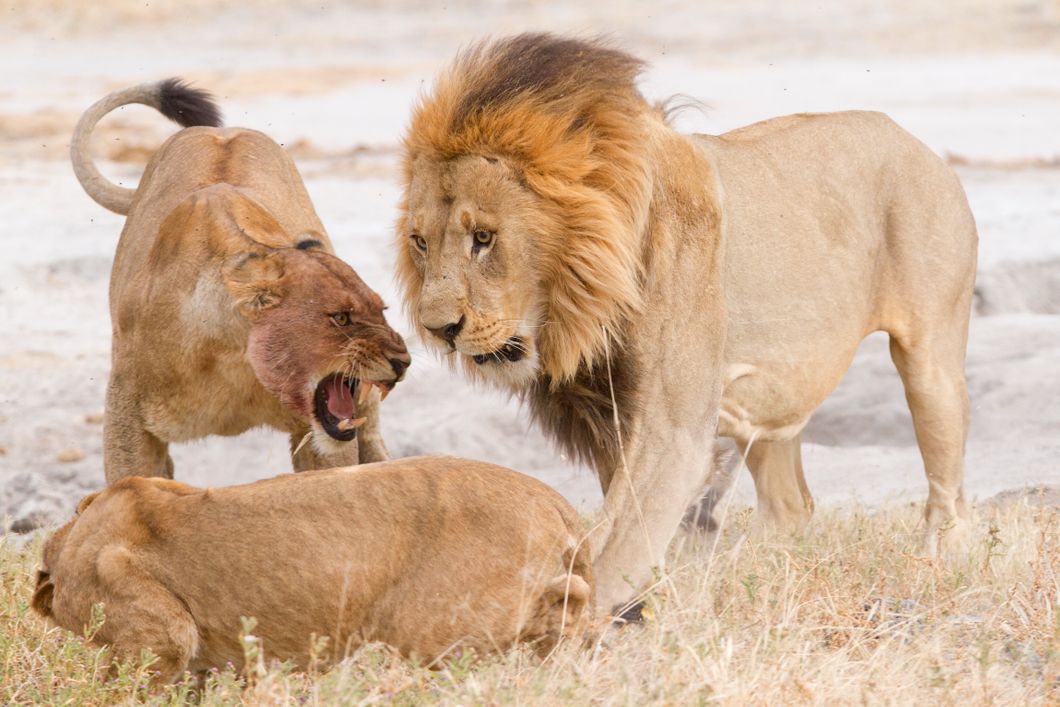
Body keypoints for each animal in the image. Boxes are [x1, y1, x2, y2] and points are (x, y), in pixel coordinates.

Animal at [73, 80, 409, 483]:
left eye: (382, 310)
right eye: (340, 318)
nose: (403, 361)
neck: (233, 358)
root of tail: (218, 130)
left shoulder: (317, 433)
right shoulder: (126, 416)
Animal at [396, 36, 975, 614]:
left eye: (484, 237)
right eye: (420, 242)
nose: (439, 329)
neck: (581, 305)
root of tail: (911, 139)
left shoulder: (672, 433)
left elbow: (613, 547)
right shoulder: (606, 419)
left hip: (931, 364)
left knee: (947, 496)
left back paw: (934, 567)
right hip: (770, 398)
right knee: (791, 505)